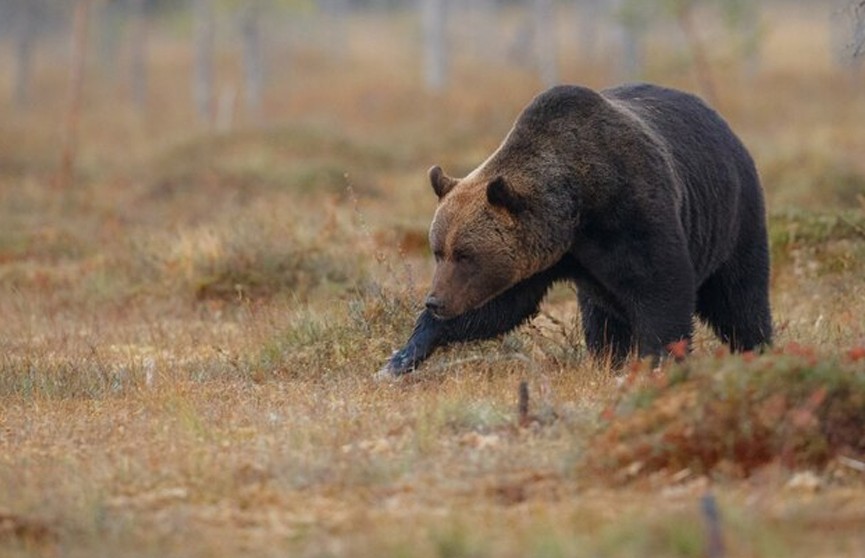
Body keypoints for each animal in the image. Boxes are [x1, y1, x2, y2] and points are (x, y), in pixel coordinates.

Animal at [382, 83, 772, 378]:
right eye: (438, 251)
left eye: (465, 255)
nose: (435, 301)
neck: (578, 210)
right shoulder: (542, 257)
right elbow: (497, 308)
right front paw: (401, 357)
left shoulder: (633, 213)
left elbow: (662, 289)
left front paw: (658, 361)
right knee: (601, 315)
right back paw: (606, 357)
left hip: (734, 215)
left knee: (740, 296)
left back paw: (758, 347)